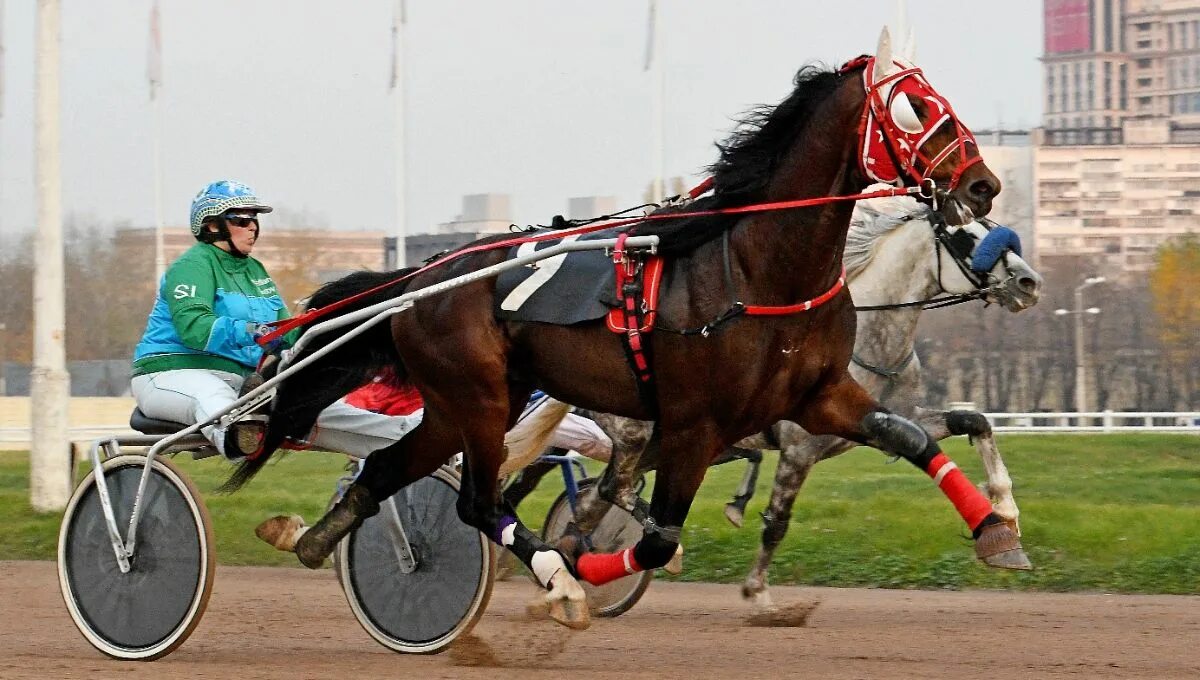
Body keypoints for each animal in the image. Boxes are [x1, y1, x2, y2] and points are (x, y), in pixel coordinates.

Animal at [241, 29, 1012, 628]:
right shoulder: (697, 424)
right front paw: (582, 567)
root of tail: (417, 279)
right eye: (915, 106)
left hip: (465, 405)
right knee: (479, 501)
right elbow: (660, 536)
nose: (983, 183)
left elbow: (911, 437)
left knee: (390, 469)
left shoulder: (817, 399)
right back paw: (557, 579)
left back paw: (311, 538)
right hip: (484, 400)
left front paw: (998, 526)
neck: (759, 272)